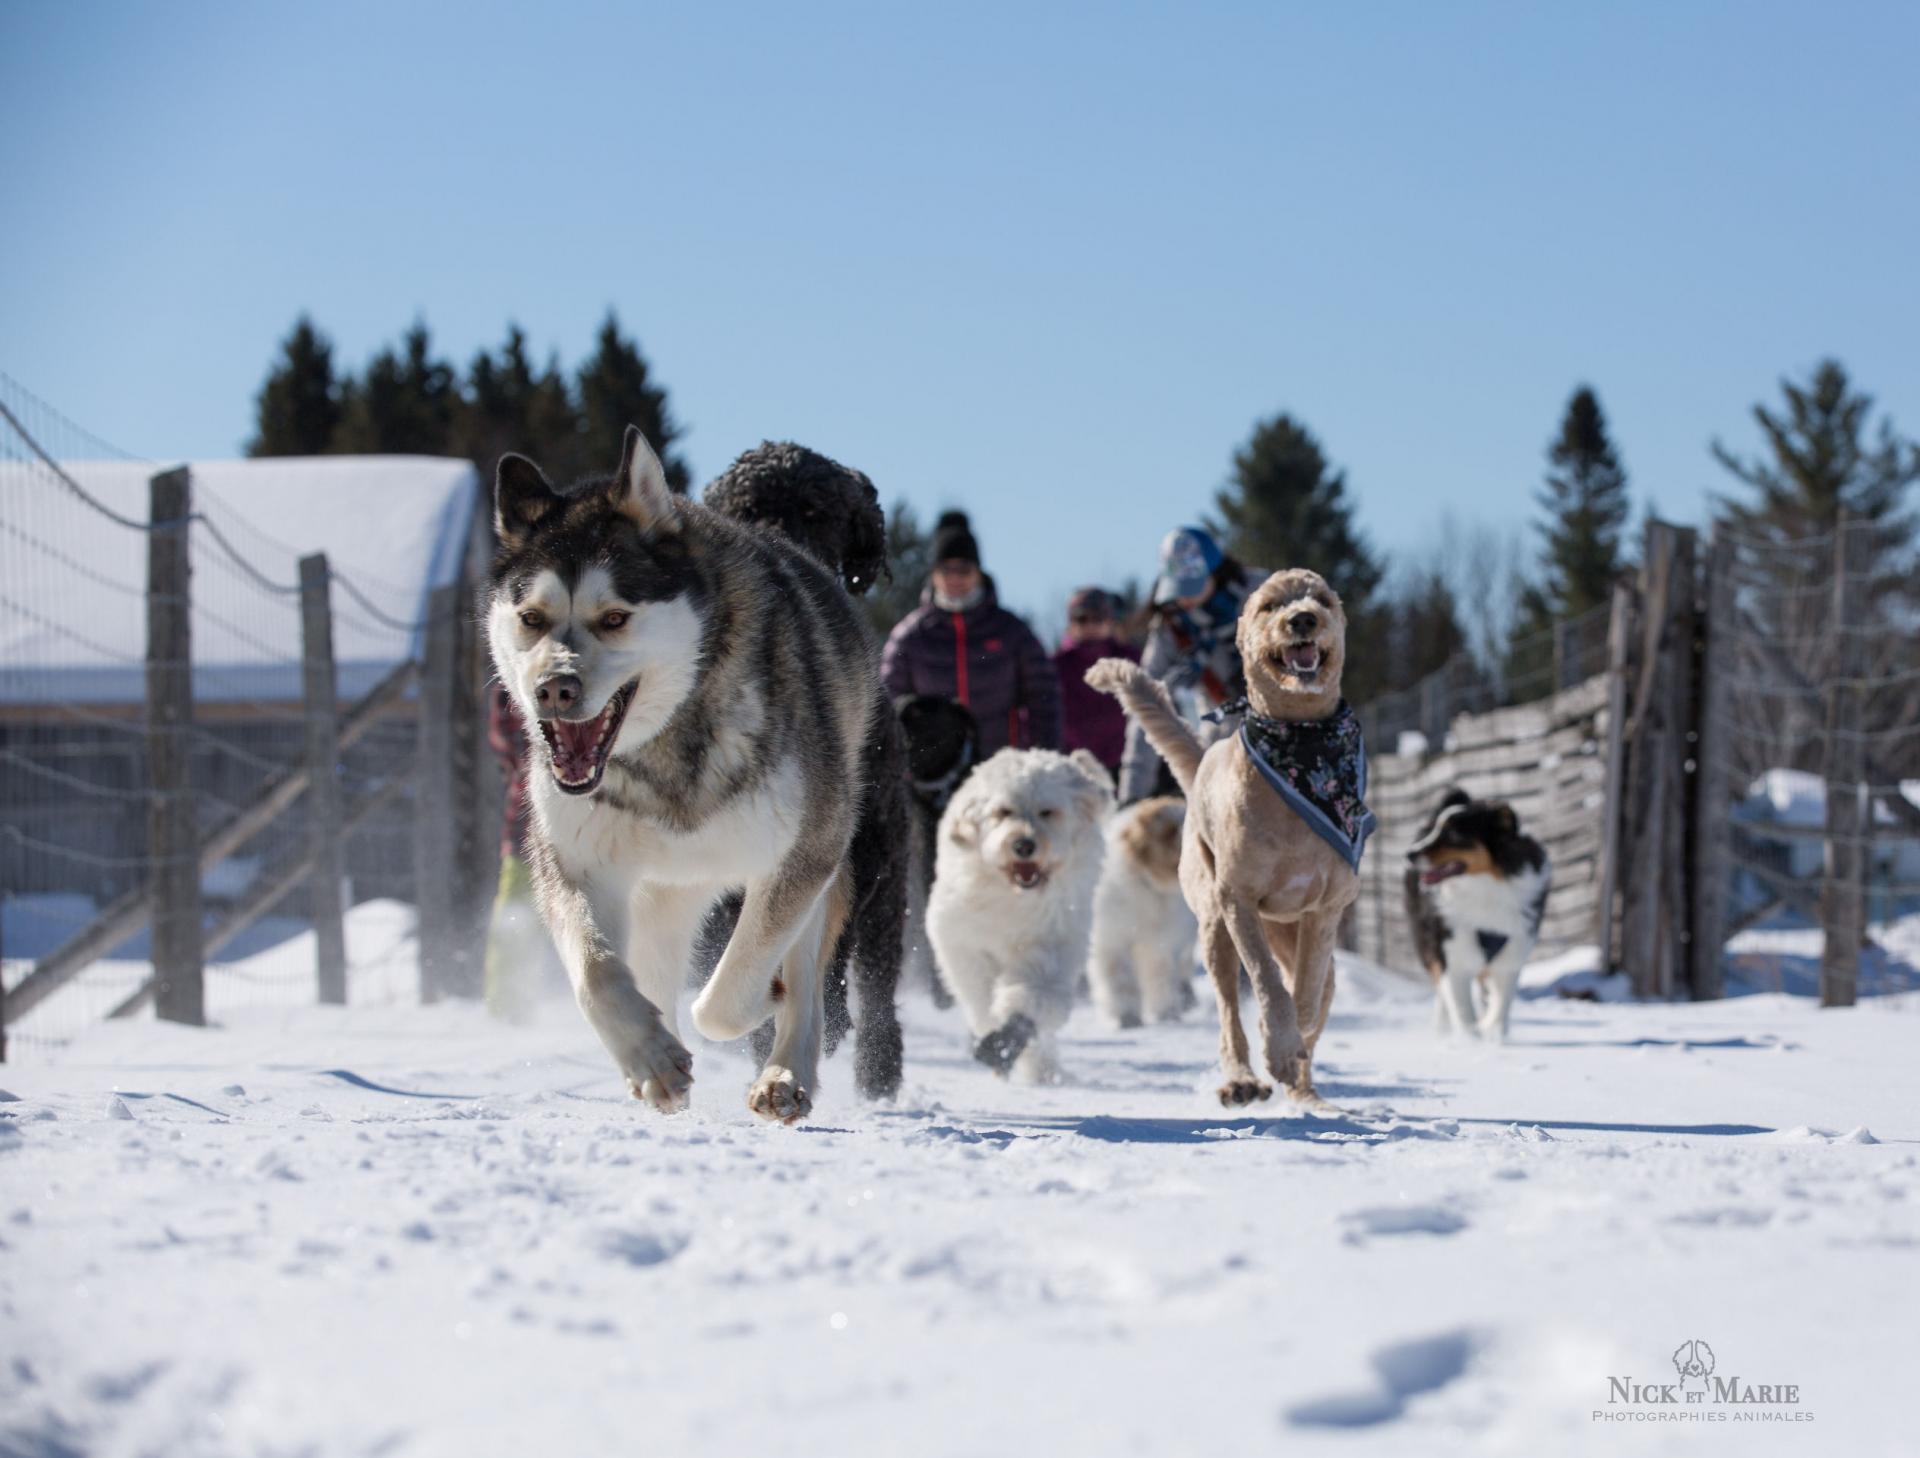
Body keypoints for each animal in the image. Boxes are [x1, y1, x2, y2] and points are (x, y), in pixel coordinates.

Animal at [925, 745, 1113, 1075]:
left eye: (1047, 812)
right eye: (1003, 812)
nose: (1024, 845)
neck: (1013, 896)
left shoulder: (1050, 946)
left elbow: (1032, 998)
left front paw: (1008, 1041)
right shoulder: (961, 941)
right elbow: (979, 993)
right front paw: (994, 1036)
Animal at [1090, 799, 1190, 1029]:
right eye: (1169, 830)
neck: (1148, 886)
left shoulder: (1159, 944)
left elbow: (1160, 977)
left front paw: (1166, 1013)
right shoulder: (1113, 941)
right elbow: (1121, 981)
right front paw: (1127, 1016)